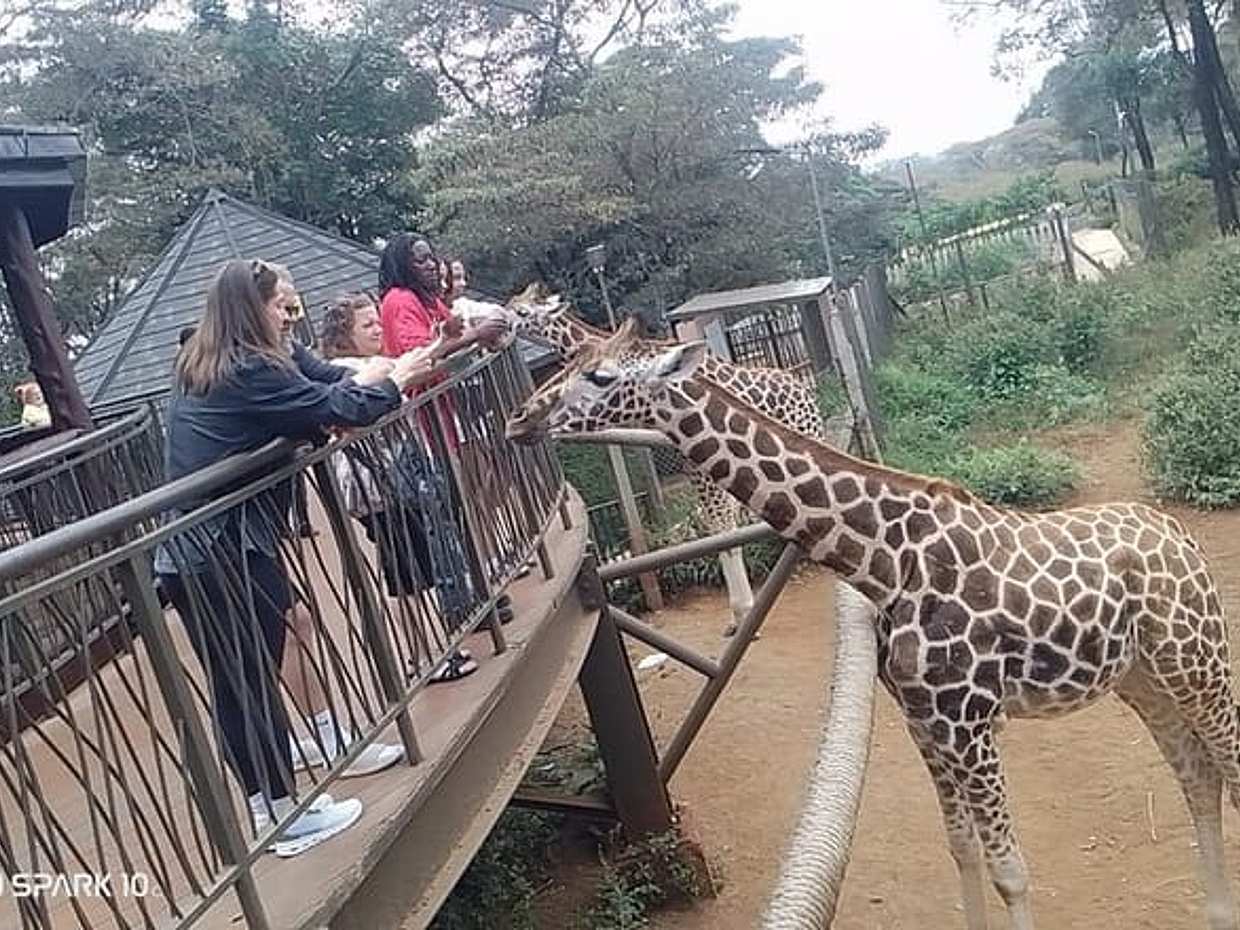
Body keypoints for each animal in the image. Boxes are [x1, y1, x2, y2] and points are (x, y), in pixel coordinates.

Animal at [504, 284, 826, 633]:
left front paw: (743, 613)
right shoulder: (694, 463)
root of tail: (802, 388)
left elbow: (723, 530)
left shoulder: (703, 464)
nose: (497, 330)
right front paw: (739, 616)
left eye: (521, 312)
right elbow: (719, 528)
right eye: (511, 304)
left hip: (808, 434)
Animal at [505, 323, 1240, 930]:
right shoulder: (924, 721)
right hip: (1141, 676)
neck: (883, 562)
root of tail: (1178, 534)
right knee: (1198, 775)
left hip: (1196, 659)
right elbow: (963, 850)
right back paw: (1213, 912)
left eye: (601, 376)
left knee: (1227, 764)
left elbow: (1010, 869)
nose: (520, 418)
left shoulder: (970, 721)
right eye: (565, 364)